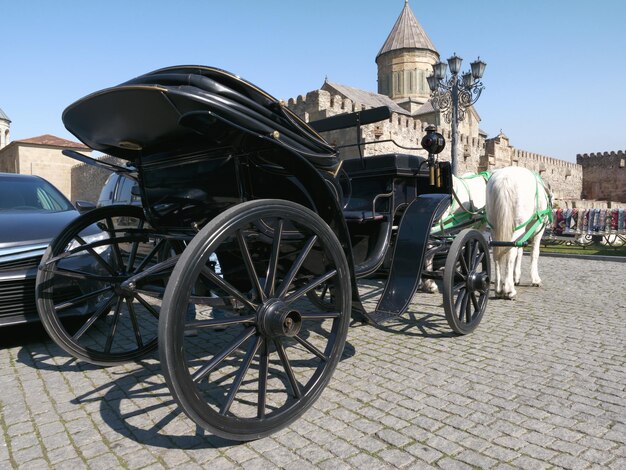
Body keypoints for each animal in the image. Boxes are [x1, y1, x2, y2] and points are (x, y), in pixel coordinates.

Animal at [486, 166, 548, 298]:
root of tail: (505, 179)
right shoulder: (538, 229)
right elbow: (534, 253)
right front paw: (535, 279)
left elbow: (520, 252)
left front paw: (516, 277)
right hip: (518, 226)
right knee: (510, 251)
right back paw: (509, 289)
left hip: (495, 226)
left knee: (496, 252)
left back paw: (499, 288)